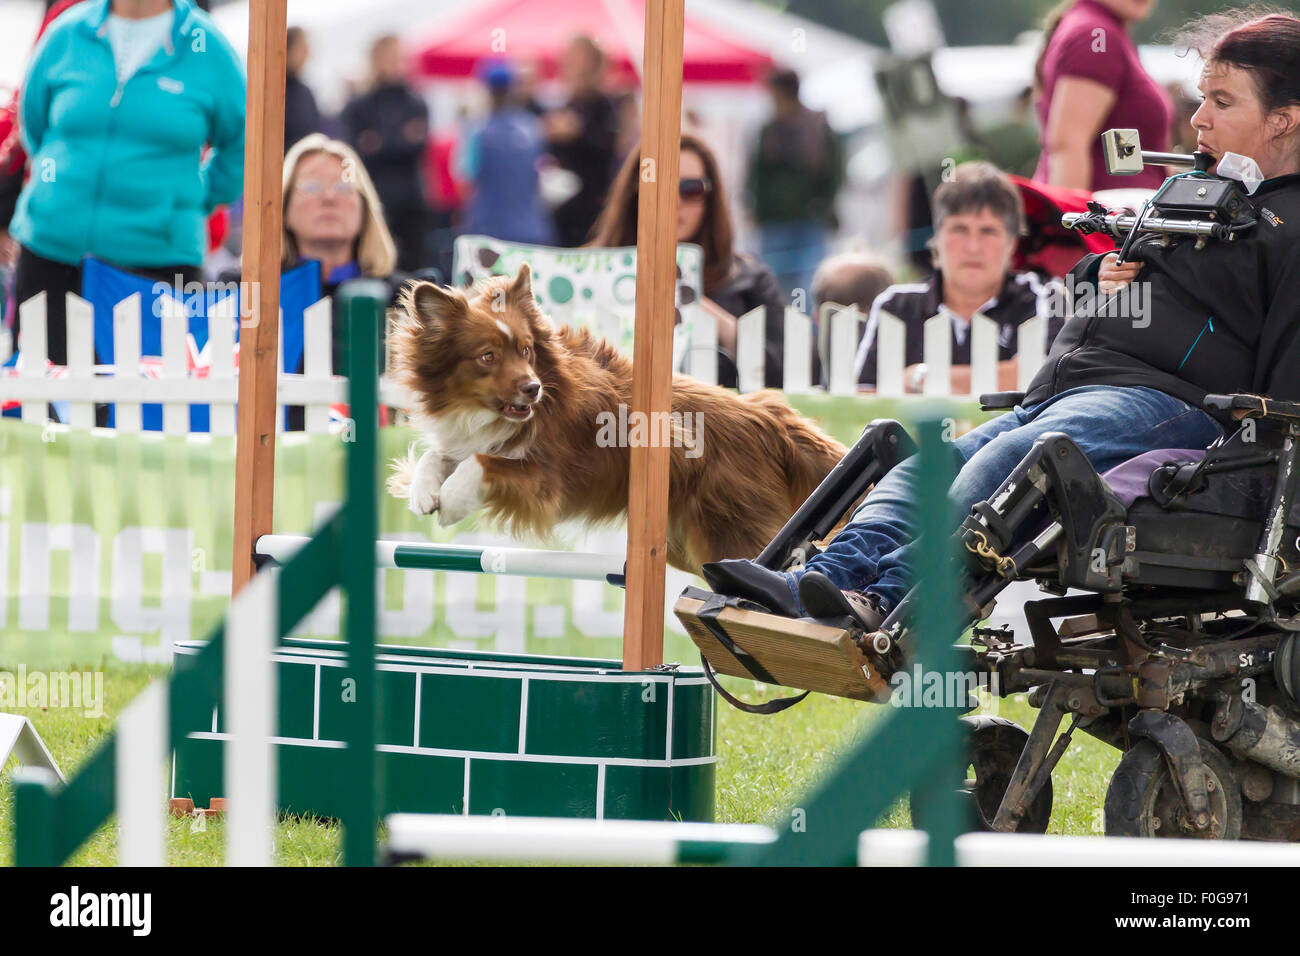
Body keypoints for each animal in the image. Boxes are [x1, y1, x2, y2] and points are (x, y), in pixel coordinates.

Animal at [384, 264, 842, 574]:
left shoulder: (546, 479)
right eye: (488, 356)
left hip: (731, 532)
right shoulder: (471, 439)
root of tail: (770, 415)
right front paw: (423, 494)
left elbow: (481, 464)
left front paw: (450, 503)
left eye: (527, 349)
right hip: (686, 543)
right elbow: (439, 456)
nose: (532, 388)